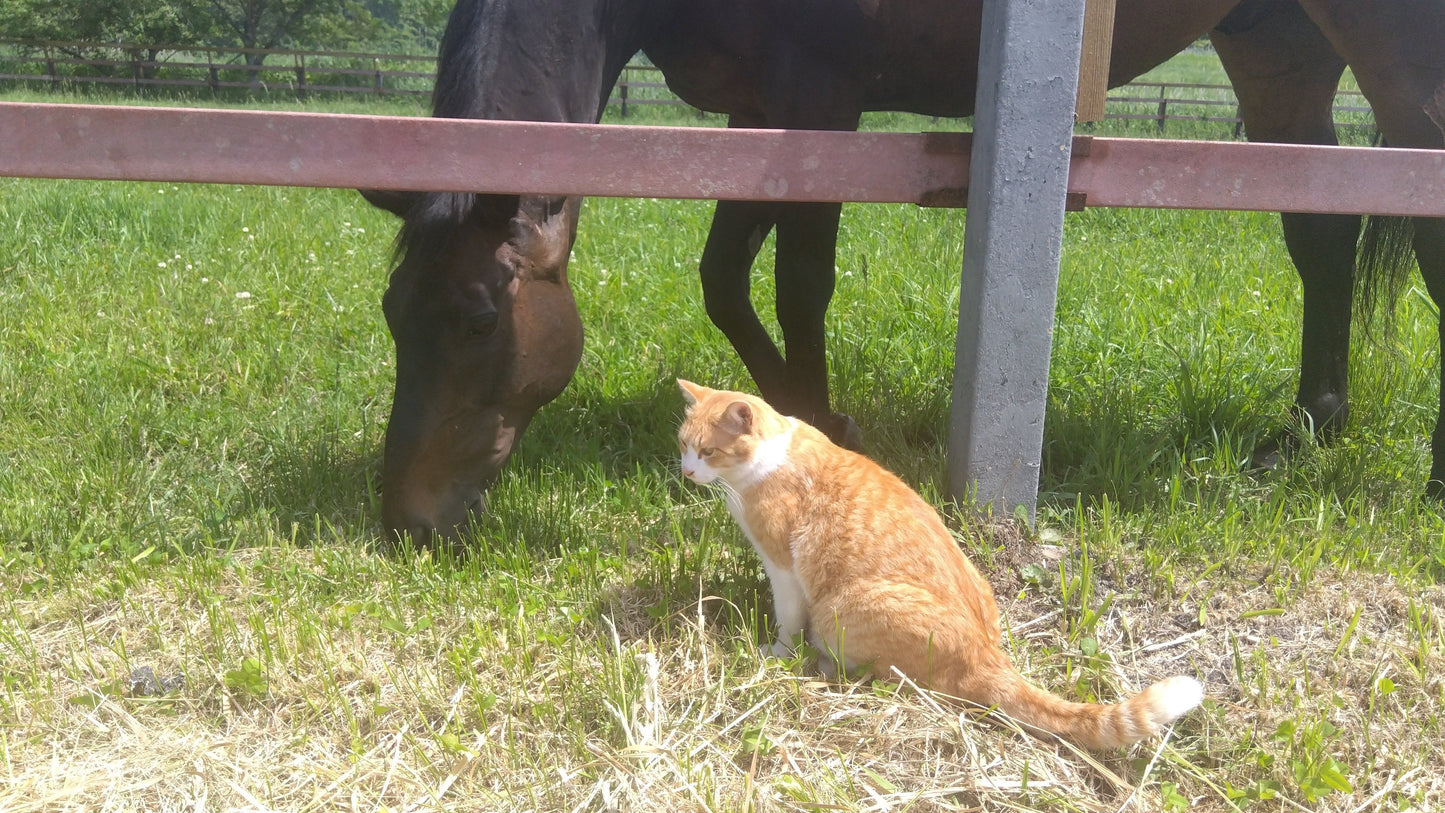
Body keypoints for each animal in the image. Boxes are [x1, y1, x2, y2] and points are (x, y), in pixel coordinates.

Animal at [367, 1, 1445, 545]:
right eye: (391, 316)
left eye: (478, 318)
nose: (408, 517)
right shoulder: (761, 110)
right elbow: (724, 277)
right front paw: (812, 414)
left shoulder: (816, 95)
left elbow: (799, 279)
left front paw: (817, 433)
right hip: (1276, 45)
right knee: (1319, 231)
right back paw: (1305, 426)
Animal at [676, 381, 1208, 750]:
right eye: (682, 444)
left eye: (708, 451)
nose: (685, 471)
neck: (771, 456)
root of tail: (987, 656)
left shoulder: (783, 567)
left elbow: (787, 619)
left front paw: (778, 652)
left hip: (836, 613)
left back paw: (822, 664)